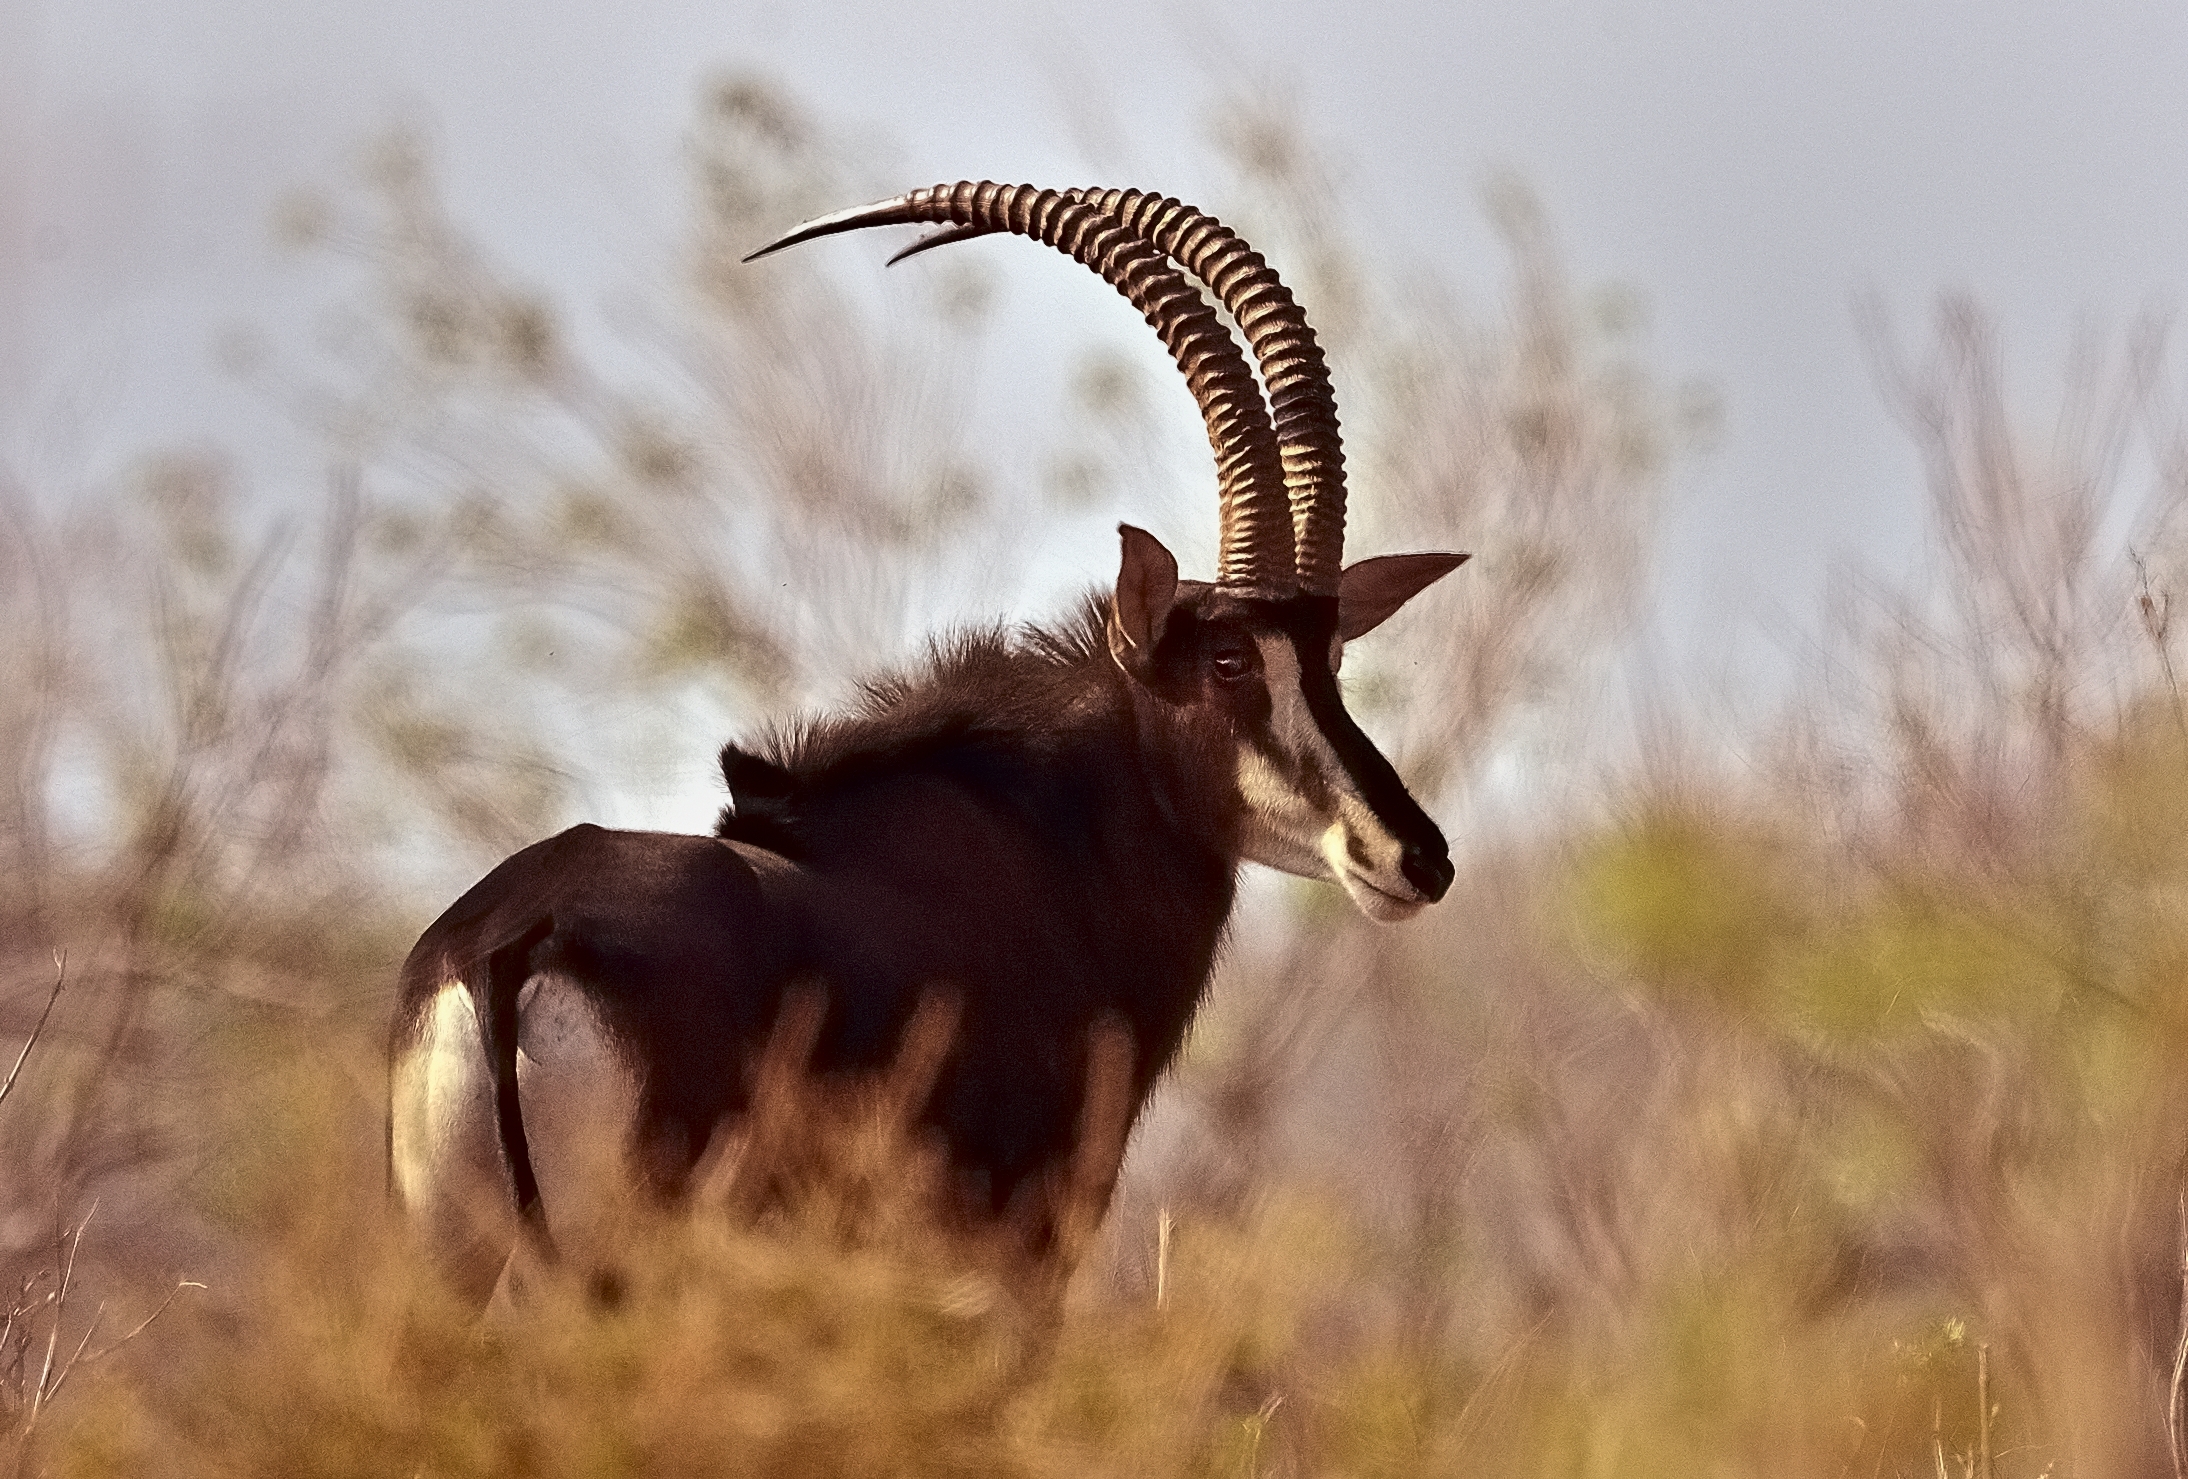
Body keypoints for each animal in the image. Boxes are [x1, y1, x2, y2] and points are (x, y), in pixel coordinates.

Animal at [389, 183, 1468, 1306]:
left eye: (1330, 654)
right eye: (1227, 660)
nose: (1414, 857)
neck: (1040, 843)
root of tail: (514, 937)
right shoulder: (1022, 1258)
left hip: (465, 1268)